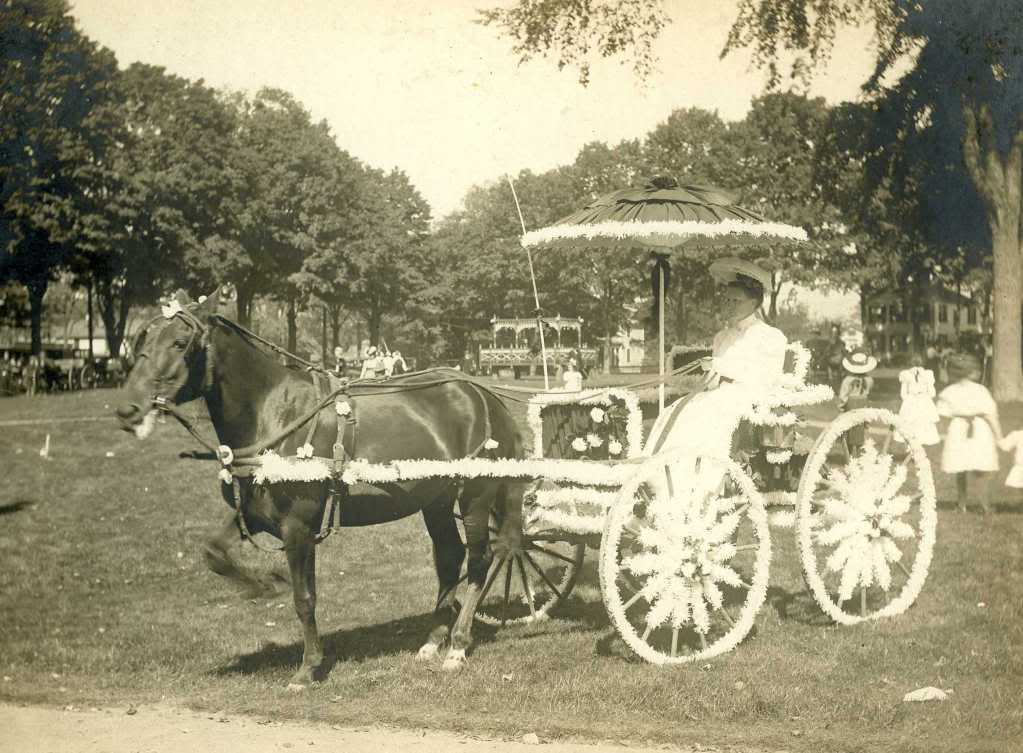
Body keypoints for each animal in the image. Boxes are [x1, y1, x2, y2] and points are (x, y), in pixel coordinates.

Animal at [116, 290, 523, 687]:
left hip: (475, 495)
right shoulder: (255, 514)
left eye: (180, 342)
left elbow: (304, 598)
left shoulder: (298, 526)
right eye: (143, 340)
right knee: (449, 556)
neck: (277, 415)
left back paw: (458, 643)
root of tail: (483, 395)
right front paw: (265, 583)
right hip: (435, 499)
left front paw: (308, 667)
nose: (128, 409)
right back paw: (433, 639)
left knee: (480, 559)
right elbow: (214, 553)